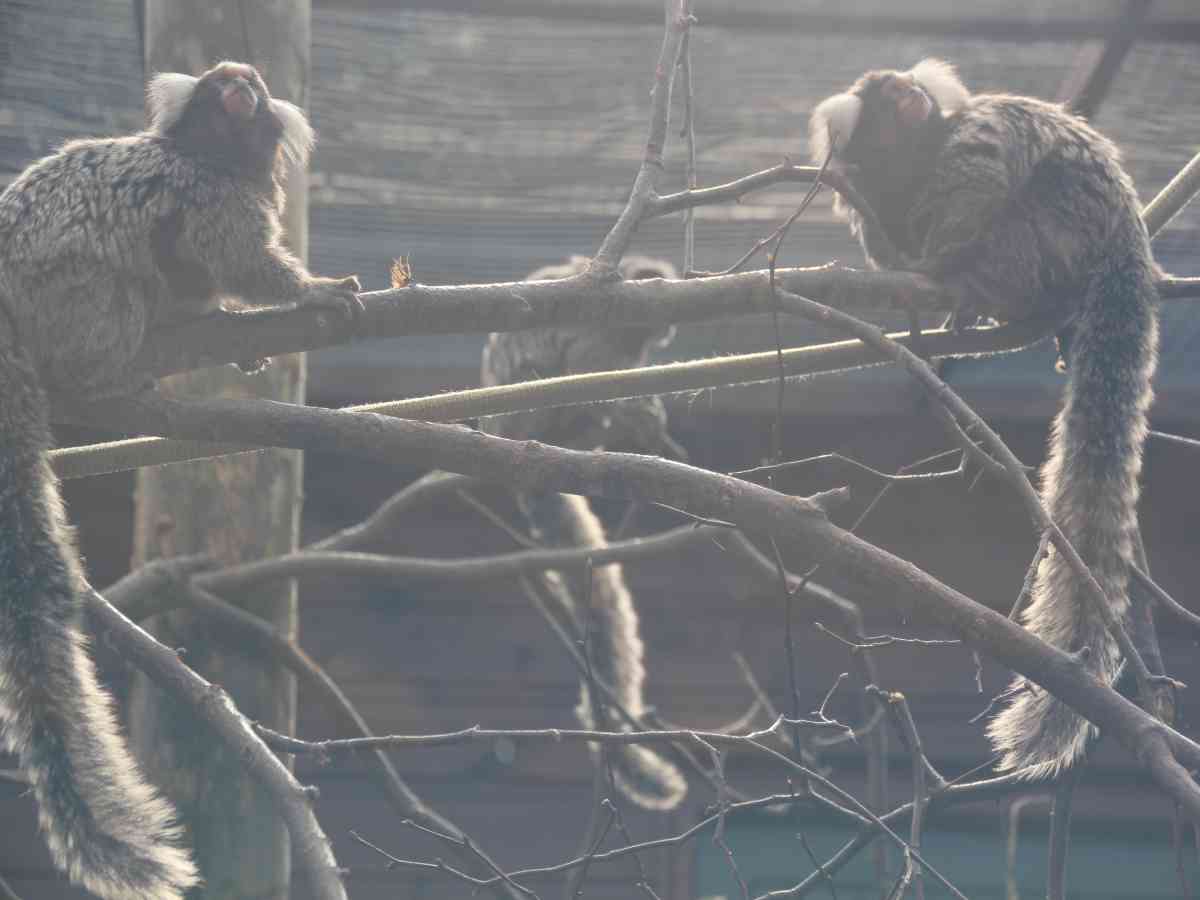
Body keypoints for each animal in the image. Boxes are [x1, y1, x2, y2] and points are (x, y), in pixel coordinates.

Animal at [0, 61, 360, 898]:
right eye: (225, 83)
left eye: (250, 86)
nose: (240, 90)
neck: (213, 151)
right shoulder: (208, 194)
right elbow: (238, 260)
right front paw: (313, 291)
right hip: (68, 299)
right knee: (128, 286)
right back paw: (116, 367)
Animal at [809, 60, 1158, 779]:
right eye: (888, 96)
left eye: (905, 90)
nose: (907, 95)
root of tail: (1127, 239)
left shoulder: (974, 133)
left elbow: (980, 179)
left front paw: (936, 263)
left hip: (1053, 234)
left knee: (1012, 222)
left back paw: (980, 284)